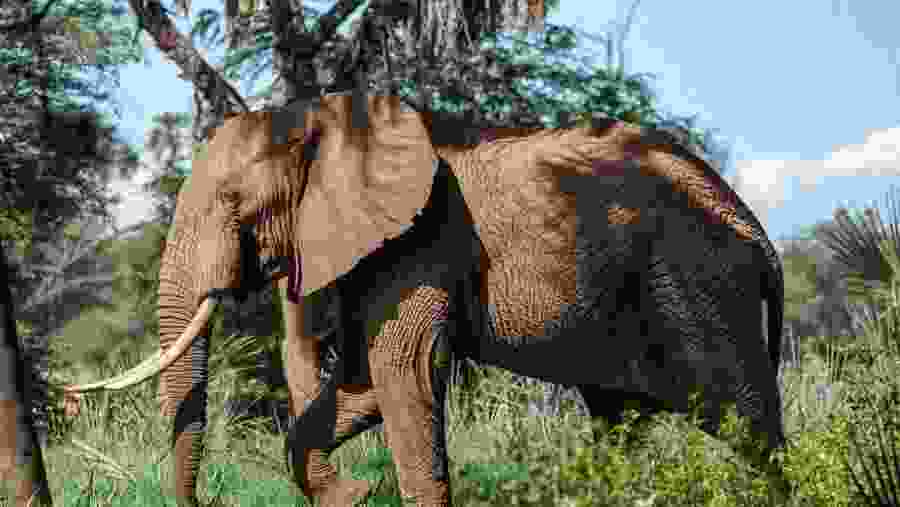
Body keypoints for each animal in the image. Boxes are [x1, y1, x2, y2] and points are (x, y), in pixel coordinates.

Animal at [59, 93, 786, 506]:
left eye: (236, 203)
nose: (197, 501)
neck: (328, 123)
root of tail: (760, 233)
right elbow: (360, 384)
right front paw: (353, 495)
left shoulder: (420, 243)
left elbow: (401, 370)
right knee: (620, 421)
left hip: (698, 286)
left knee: (745, 422)